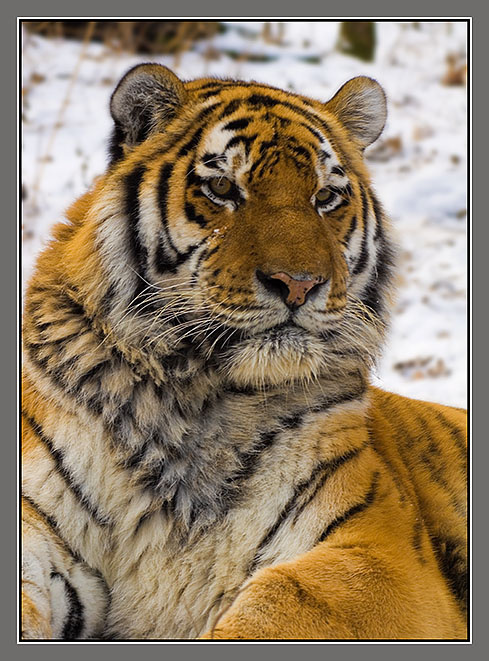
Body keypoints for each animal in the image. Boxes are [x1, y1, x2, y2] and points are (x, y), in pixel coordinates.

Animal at [21, 63, 467, 640]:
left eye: (326, 197)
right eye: (222, 188)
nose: (299, 284)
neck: (190, 399)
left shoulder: (377, 553)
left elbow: (283, 601)